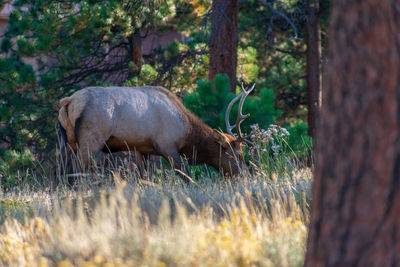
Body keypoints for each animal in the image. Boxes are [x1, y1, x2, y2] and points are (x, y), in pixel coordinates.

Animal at [56, 85, 255, 185]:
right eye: (238, 154)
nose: (245, 176)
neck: (187, 133)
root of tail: (69, 102)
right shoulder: (167, 146)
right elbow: (187, 176)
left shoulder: (141, 149)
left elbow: (143, 177)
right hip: (91, 139)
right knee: (77, 171)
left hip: (68, 142)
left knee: (64, 170)